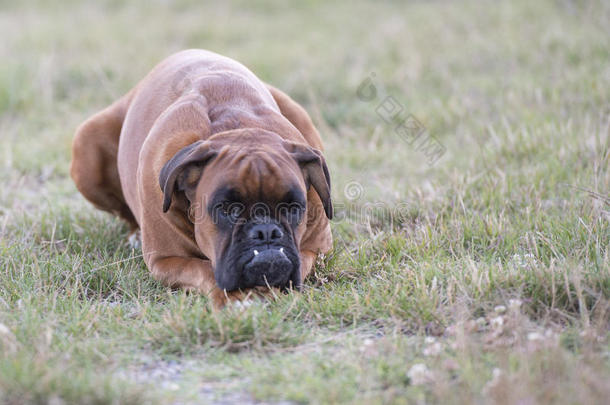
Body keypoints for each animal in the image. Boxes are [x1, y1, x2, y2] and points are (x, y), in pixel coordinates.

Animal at [71, 48, 332, 306]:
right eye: (228, 210)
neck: (235, 124)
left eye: (292, 207)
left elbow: (303, 260)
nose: (266, 232)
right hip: (85, 150)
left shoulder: (316, 248)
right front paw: (236, 297)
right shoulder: (165, 260)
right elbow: (203, 269)